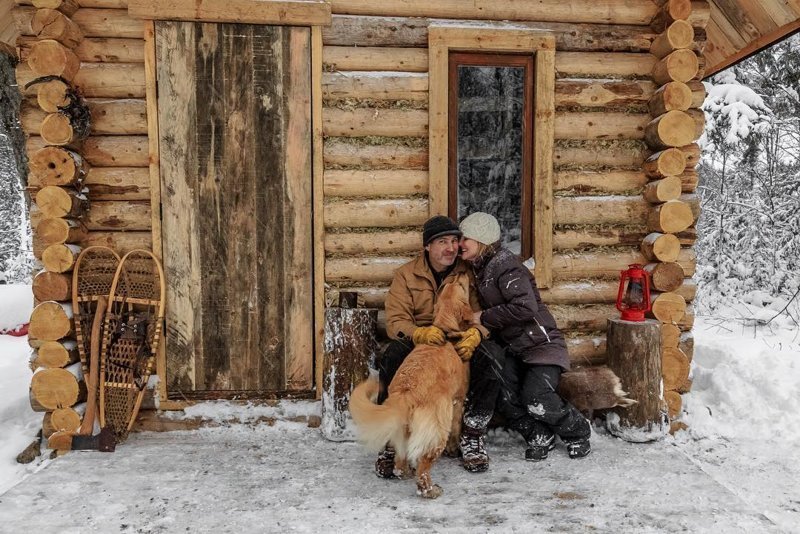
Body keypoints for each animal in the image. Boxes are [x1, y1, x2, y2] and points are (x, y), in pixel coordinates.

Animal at [346, 274, 472, 500]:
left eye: (453, 283)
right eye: (460, 285)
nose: (461, 273)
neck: (444, 329)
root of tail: (405, 395)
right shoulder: (458, 400)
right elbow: (457, 428)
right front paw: (454, 449)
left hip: (402, 432)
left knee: (399, 463)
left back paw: (405, 472)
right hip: (437, 430)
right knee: (424, 467)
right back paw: (430, 490)